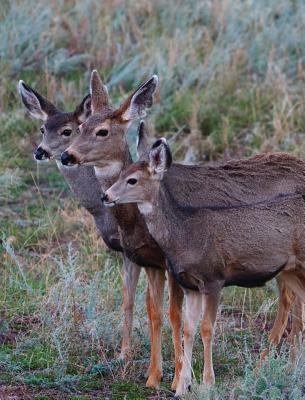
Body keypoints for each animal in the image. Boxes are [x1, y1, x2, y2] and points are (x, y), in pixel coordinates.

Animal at [104, 127, 304, 394]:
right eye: (121, 174)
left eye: (132, 180)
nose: (105, 195)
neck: (184, 235)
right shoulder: (190, 284)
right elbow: (188, 328)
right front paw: (182, 386)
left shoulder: (213, 279)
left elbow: (207, 328)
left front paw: (208, 382)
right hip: (292, 272)